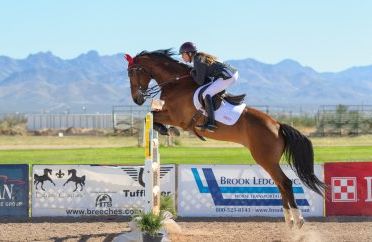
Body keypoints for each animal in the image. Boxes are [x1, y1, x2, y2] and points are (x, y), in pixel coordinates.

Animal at [123, 49, 324, 229]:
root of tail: (277, 126)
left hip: (265, 159)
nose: (137, 99)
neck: (176, 84)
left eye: (132, 72)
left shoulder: (176, 117)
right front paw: (165, 130)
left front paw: (166, 130)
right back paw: (289, 220)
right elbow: (153, 115)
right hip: (269, 161)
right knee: (280, 184)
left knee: (285, 183)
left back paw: (298, 220)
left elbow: (152, 115)